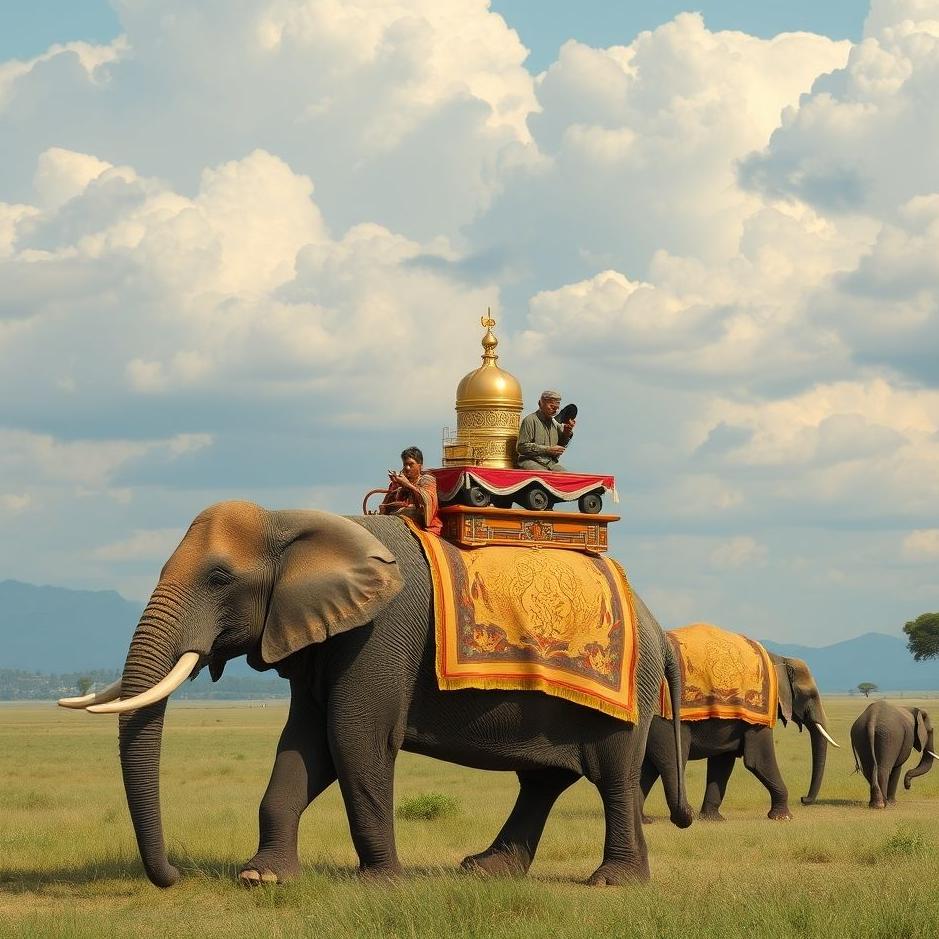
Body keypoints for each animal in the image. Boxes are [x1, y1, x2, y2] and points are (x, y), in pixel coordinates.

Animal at [59, 500, 692, 888]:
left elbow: (353, 737)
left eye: (219, 579)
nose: (172, 877)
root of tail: (661, 630)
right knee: (544, 779)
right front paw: (262, 878)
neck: (291, 519)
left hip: (627, 687)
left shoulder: (382, 629)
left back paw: (611, 882)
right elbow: (305, 745)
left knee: (613, 772)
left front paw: (382, 884)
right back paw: (485, 871)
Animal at [640, 629, 839, 822]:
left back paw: (645, 820)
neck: (780, 658)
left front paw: (713, 819)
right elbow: (758, 760)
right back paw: (685, 816)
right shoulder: (757, 720)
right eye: (810, 695)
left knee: (649, 765)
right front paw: (784, 818)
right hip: (665, 718)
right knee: (671, 760)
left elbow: (723, 761)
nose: (804, 798)